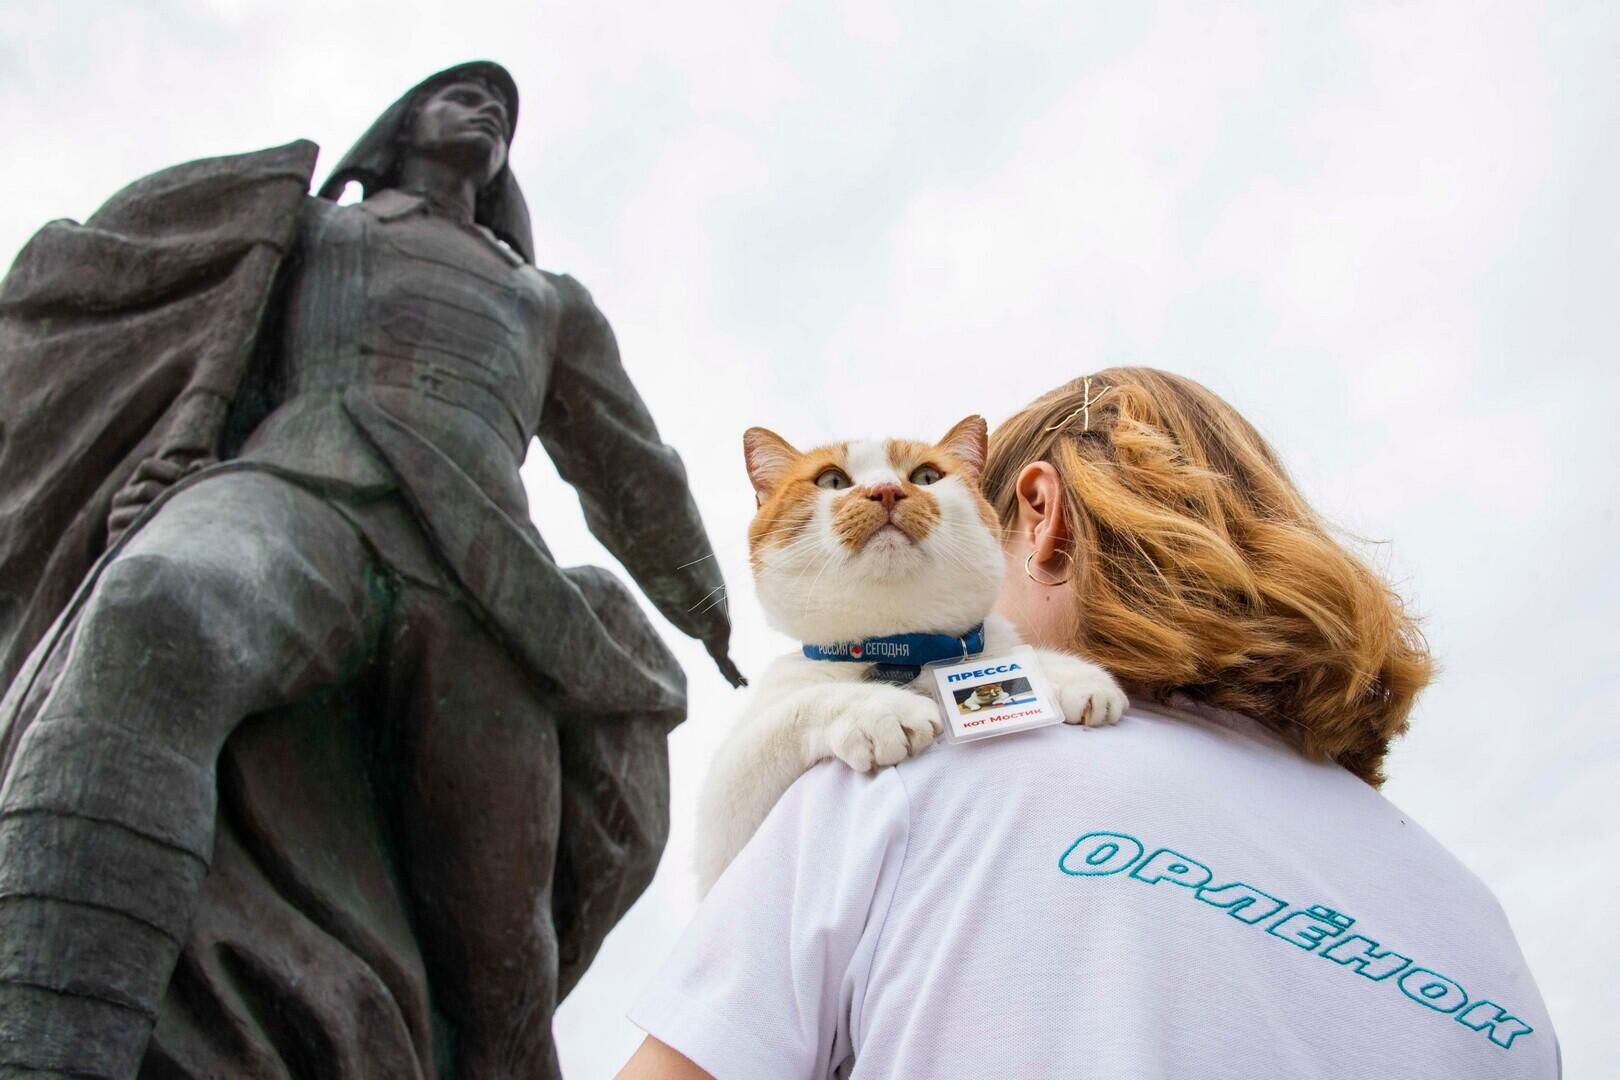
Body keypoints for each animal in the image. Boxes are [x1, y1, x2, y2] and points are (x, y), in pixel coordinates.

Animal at [696, 414, 1127, 893]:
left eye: (925, 476)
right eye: (831, 480)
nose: (885, 490)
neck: (904, 649)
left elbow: (1009, 652)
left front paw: (1070, 675)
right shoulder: (723, 822)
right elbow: (799, 706)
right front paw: (883, 710)